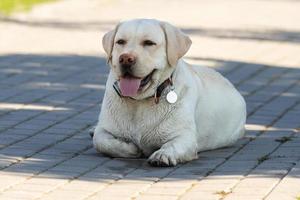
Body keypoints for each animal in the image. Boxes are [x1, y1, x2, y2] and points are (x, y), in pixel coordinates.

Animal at [93, 18, 246, 166]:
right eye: (120, 42)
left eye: (149, 43)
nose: (125, 59)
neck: (139, 101)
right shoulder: (103, 129)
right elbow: (100, 141)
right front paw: (130, 148)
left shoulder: (185, 137)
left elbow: (172, 145)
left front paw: (162, 155)